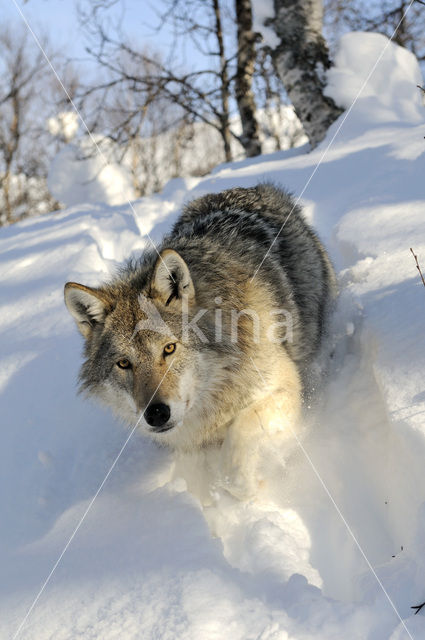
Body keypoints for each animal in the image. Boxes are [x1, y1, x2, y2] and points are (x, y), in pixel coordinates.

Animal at [64, 185, 334, 496]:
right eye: (123, 364)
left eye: (169, 348)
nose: (156, 414)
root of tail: (246, 188)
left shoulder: (283, 386)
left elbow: (237, 447)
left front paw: (253, 486)